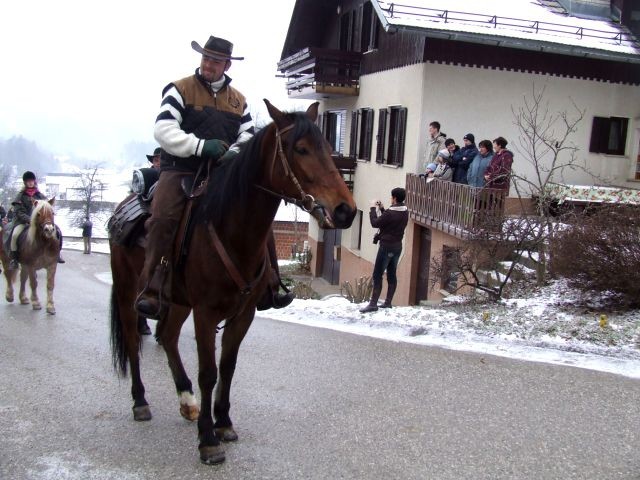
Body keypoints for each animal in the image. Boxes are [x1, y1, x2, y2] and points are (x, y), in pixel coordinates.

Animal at [110, 100, 358, 464]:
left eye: (328, 148)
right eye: (300, 149)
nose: (345, 211)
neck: (229, 229)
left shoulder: (243, 314)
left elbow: (227, 367)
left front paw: (223, 422)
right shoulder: (206, 313)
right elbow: (209, 373)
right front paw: (208, 440)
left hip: (178, 301)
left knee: (168, 337)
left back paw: (187, 401)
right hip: (130, 292)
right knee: (132, 340)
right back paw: (140, 401)